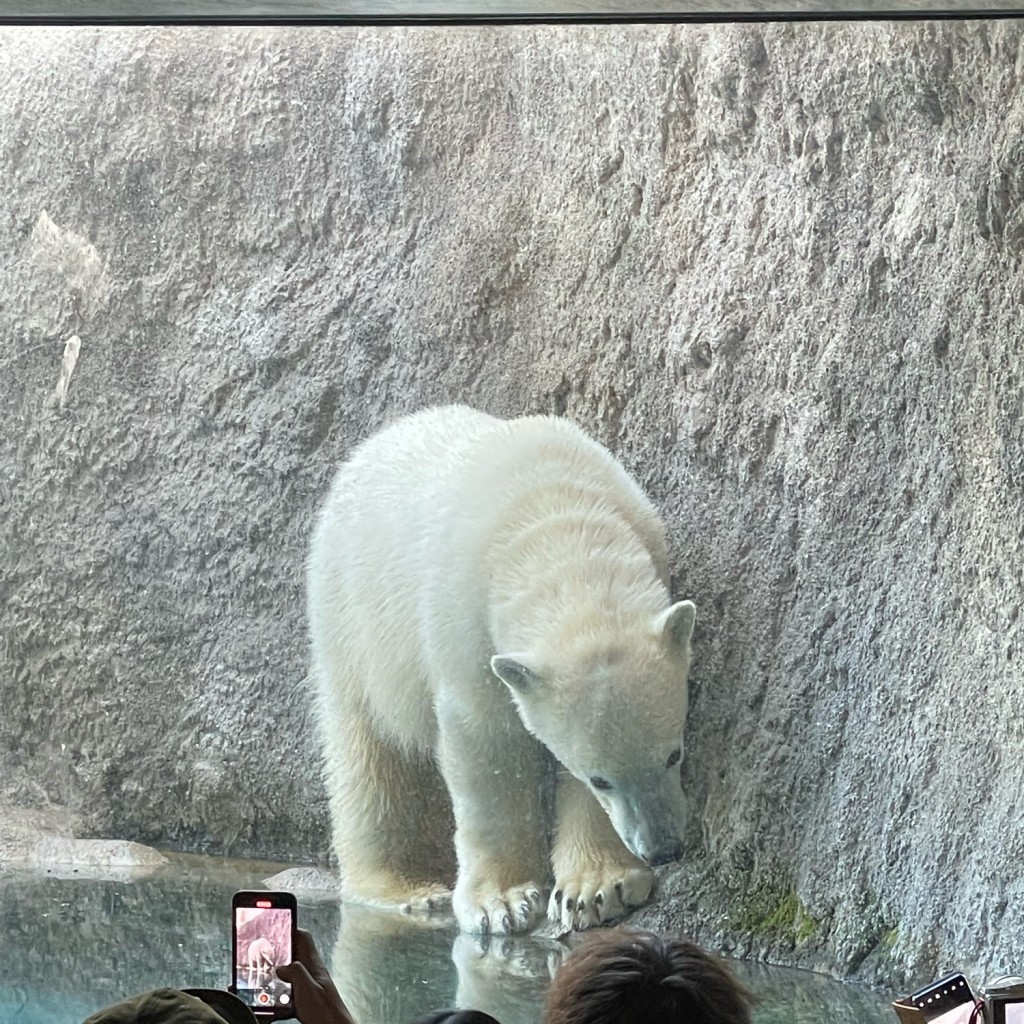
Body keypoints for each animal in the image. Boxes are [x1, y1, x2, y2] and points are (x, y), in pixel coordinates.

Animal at [305, 405, 696, 937]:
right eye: (601, 779)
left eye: (673, 754)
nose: (662, 848)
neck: (549, 517)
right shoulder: (463, 624)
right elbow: (486, 743)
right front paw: (502, 902)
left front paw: (595, 889)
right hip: (350, 621)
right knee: (367, 756)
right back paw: (404, 889)